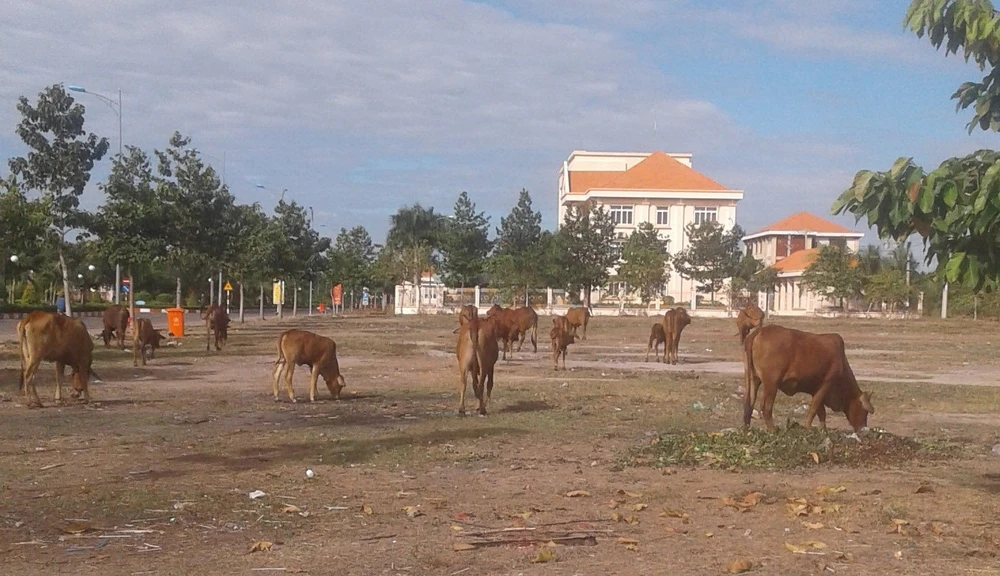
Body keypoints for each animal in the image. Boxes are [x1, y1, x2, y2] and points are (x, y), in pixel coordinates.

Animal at [744, 324, 876, 432]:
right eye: (865, 412)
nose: (863, 428)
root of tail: (760, 331)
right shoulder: (826, 384)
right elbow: (814, 410)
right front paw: (808, 428)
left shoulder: (816, 390)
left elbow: (821, 412)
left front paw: (823, 430)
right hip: (772, 383)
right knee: (766, 407)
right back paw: (772, 429)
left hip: (753, 379)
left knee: (749, 403)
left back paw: (747, 427)